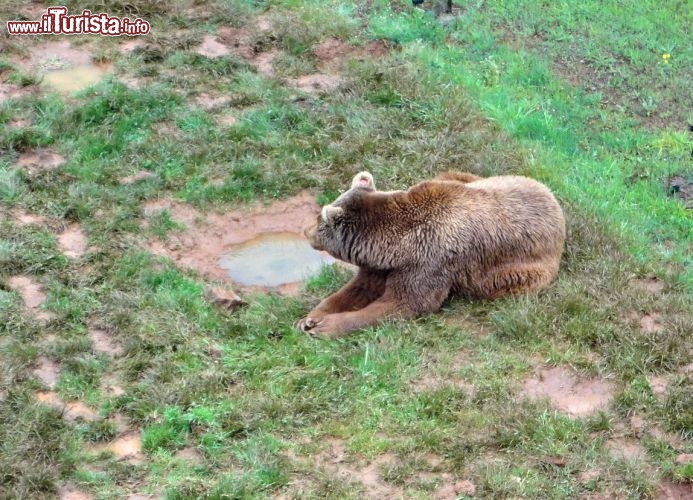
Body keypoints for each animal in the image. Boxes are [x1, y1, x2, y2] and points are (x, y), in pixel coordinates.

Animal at [296, 170, 564, 338]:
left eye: (318, 220)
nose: (305, 231)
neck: (396, 247)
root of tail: (554, 200)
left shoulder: (429, 262)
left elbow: (404, 302)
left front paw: (325, 327)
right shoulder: (382, 266)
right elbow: (358, 288)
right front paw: (309, 318)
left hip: (521, 271)